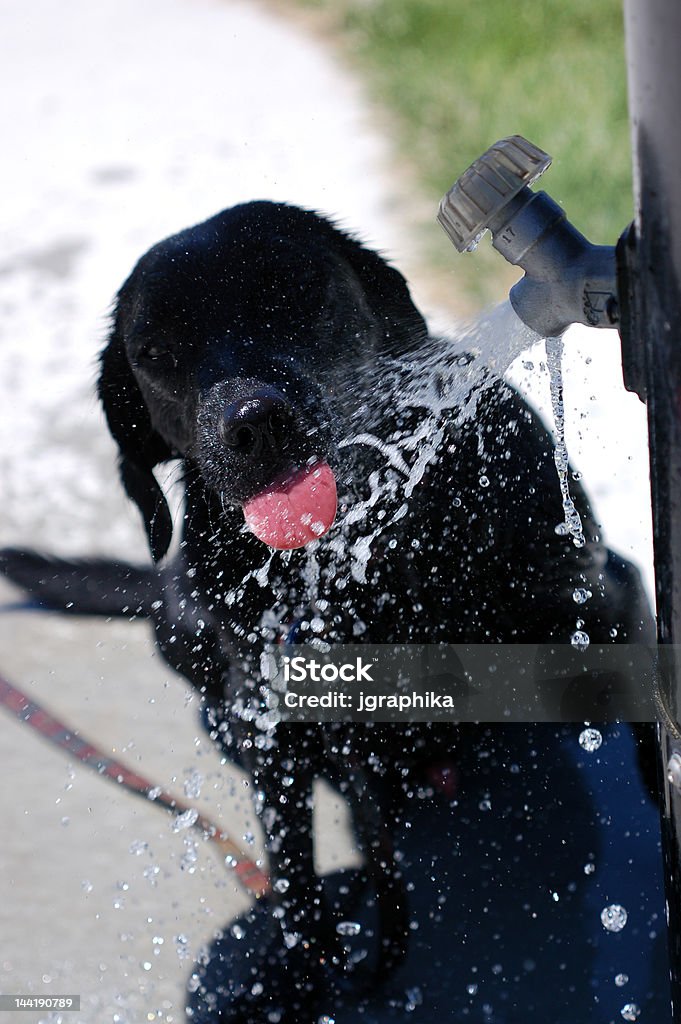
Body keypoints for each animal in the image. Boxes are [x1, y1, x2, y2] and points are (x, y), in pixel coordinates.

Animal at [2, 199, 655, 1015]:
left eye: (293, 285)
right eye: (153, 351)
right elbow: (292, 872)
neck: (358, 569)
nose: (251, 423)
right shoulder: (275, 719)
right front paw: (294, 974)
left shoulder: (605, 596)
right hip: (181, 624)